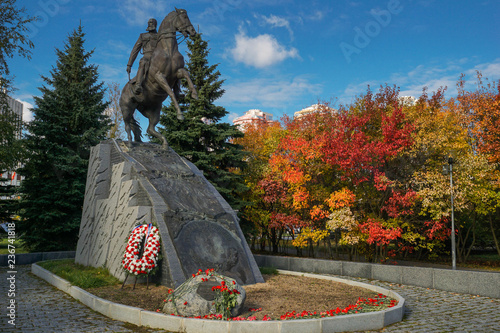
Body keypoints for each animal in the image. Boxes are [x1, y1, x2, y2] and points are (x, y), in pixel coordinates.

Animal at [120, 8, 198, 148]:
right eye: (184, 17)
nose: (193, 31)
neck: (168, 50)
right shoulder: (159, 76)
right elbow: (170, 93)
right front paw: (180, 115)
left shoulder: (177, 72)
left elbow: (186, 75)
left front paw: (194, 94)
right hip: (127, 108)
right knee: (127, 125)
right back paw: (129, 142)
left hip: (154, 111)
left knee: (150, 129)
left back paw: (164, 143)